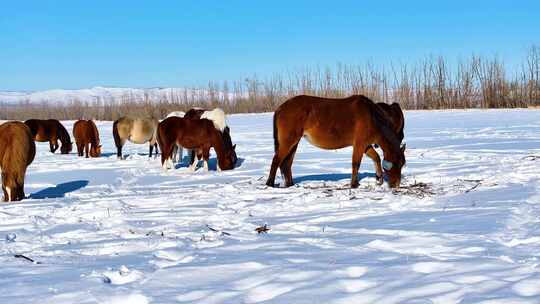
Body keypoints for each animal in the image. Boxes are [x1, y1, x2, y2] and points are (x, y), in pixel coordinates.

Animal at [266, 95, 404, 190]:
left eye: (402, 164)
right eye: (397, 164)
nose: (396, 185)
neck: (371, 117)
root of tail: (281, 108)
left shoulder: (366, 145)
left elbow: (376, 158)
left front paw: (379, 179)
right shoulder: (359, 144)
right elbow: (356, 163)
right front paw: (354, 184)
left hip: (294, 143)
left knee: (287, 163)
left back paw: (290, 184)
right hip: (289, 141)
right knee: (276, 160)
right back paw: (270, 184)